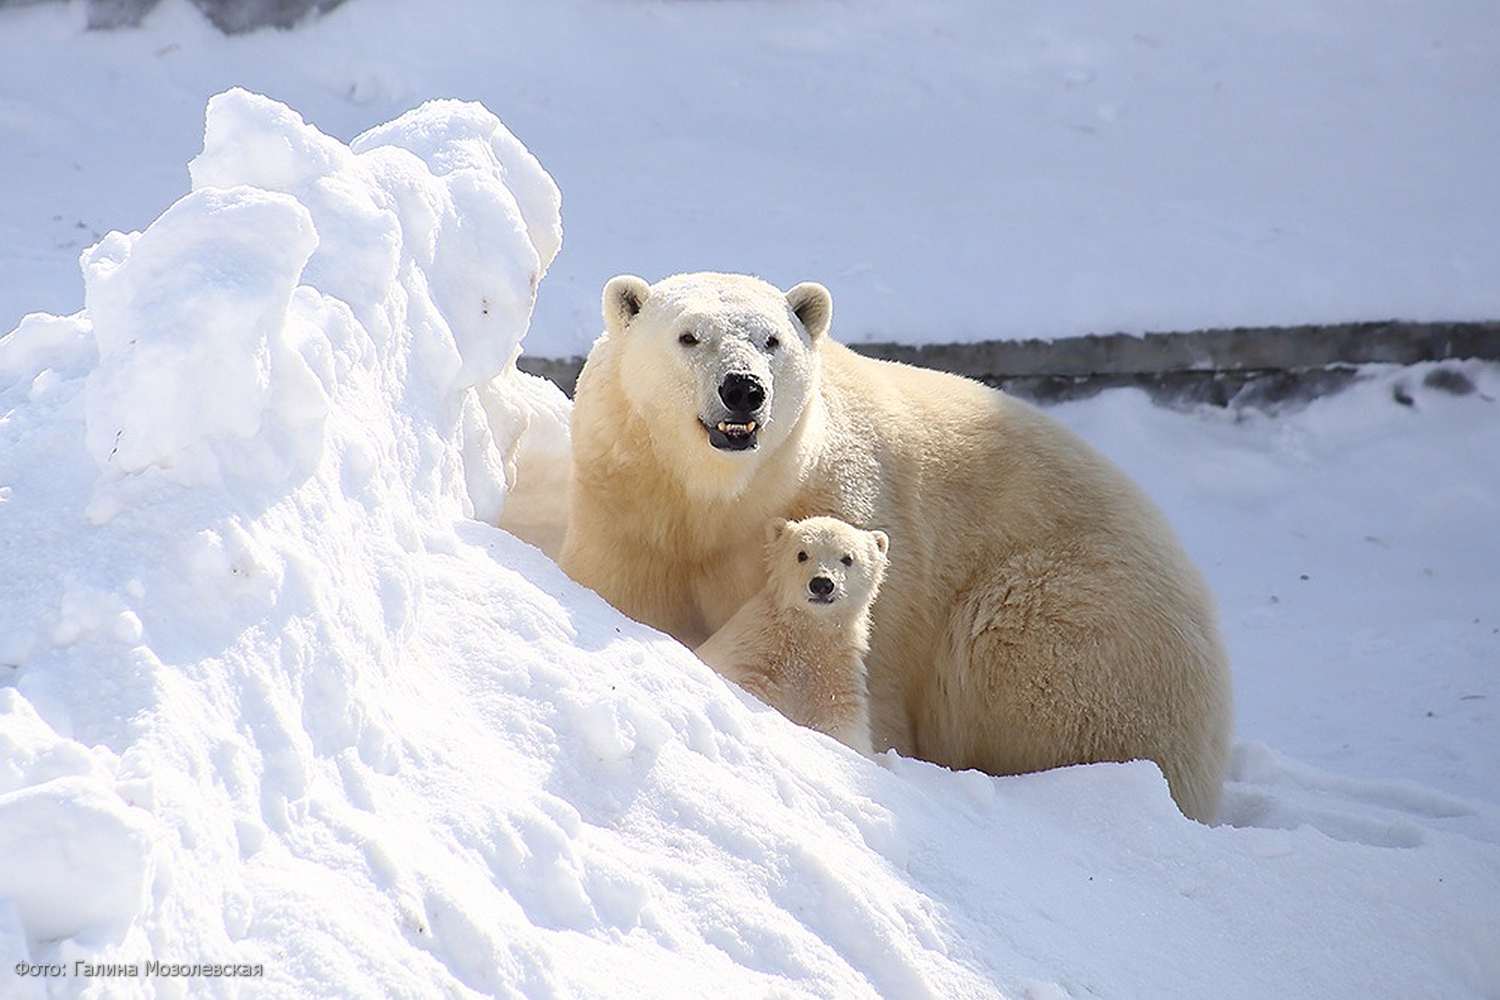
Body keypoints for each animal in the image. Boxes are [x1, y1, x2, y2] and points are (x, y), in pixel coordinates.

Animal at [693, 515, 888, 749]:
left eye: (847, 558)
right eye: (802, 554)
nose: (822, 584)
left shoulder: (837, 672)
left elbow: (842, 723)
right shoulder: (754, 654)